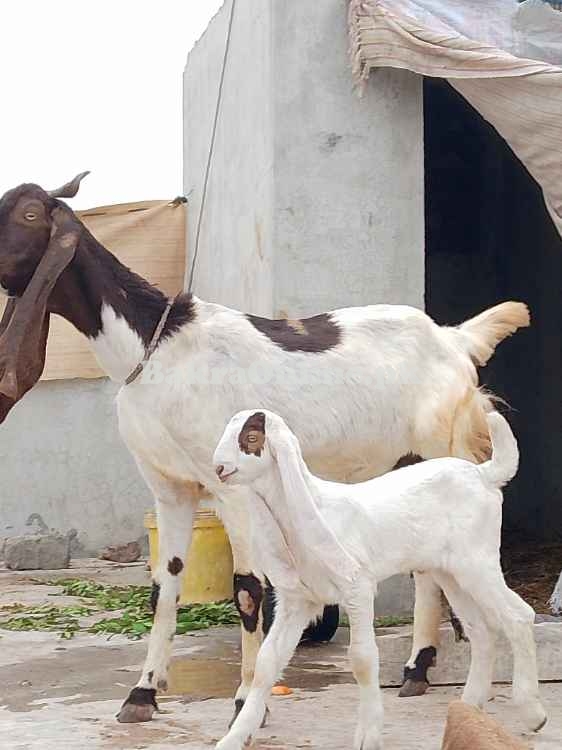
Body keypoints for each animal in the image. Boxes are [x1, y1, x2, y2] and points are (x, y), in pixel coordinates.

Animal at [0, 176, 528, 728]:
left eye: (30, 214)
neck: (155, 346)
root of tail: (455, 340)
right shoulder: (170, 489)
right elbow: (163, 589)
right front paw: (142, 693)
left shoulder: (231, 490)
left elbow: (247, 589)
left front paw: (244, 700)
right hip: (409, 464)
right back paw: (416, 671)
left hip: (442, 448)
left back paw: (421, 664)